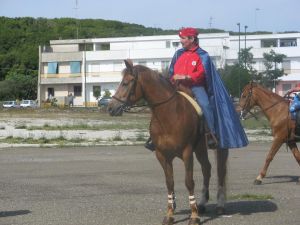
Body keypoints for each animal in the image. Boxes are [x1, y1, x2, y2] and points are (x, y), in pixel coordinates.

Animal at [108, 59, 227, 225]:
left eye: (126, 83)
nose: (110, 107)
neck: (169, 113)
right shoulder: (162, 154)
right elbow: (169, 183)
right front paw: (170, 213)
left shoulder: (187, 152)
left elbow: (189, 182)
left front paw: (194, 215)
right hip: (200, 148)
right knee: (207, 168)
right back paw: (203, 203)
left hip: (212, 148)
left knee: (218, 171)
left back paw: (217, 205)